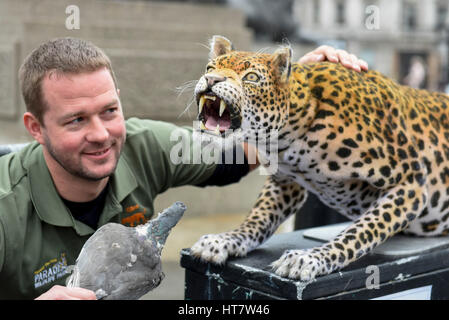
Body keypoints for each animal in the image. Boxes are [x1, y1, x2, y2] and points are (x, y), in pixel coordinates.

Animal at [191, 33, 448, 282]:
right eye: (210, 67)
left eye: (251, 77)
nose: (212, 80)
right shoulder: (284, 182)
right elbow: (258, 218)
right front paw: (225, 240)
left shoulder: (411, 181)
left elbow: (362, 231)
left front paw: (312, 258)